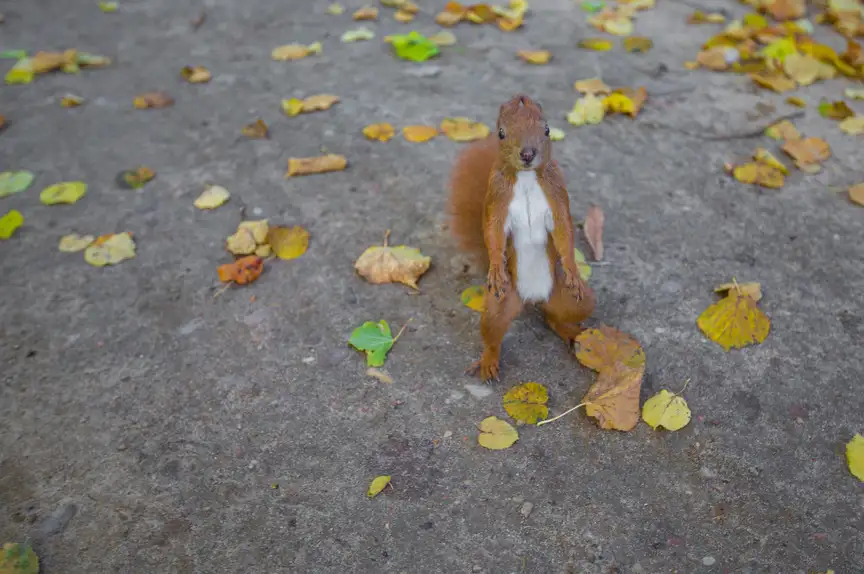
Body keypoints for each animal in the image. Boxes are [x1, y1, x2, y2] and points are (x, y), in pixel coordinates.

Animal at [446, 93, 592, 382]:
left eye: (547, 130)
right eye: (501, 133)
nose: (527, 154)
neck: (525, 178)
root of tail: (533, 299)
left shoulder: (556, 193)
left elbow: (564, 231)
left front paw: (572, 269)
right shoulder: (497, 197)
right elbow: (492, 232)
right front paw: (495, 267)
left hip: (573, 300)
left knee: (554, 317)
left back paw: (571, 331)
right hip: (500, 305)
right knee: (494, 332)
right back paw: (489, 361)